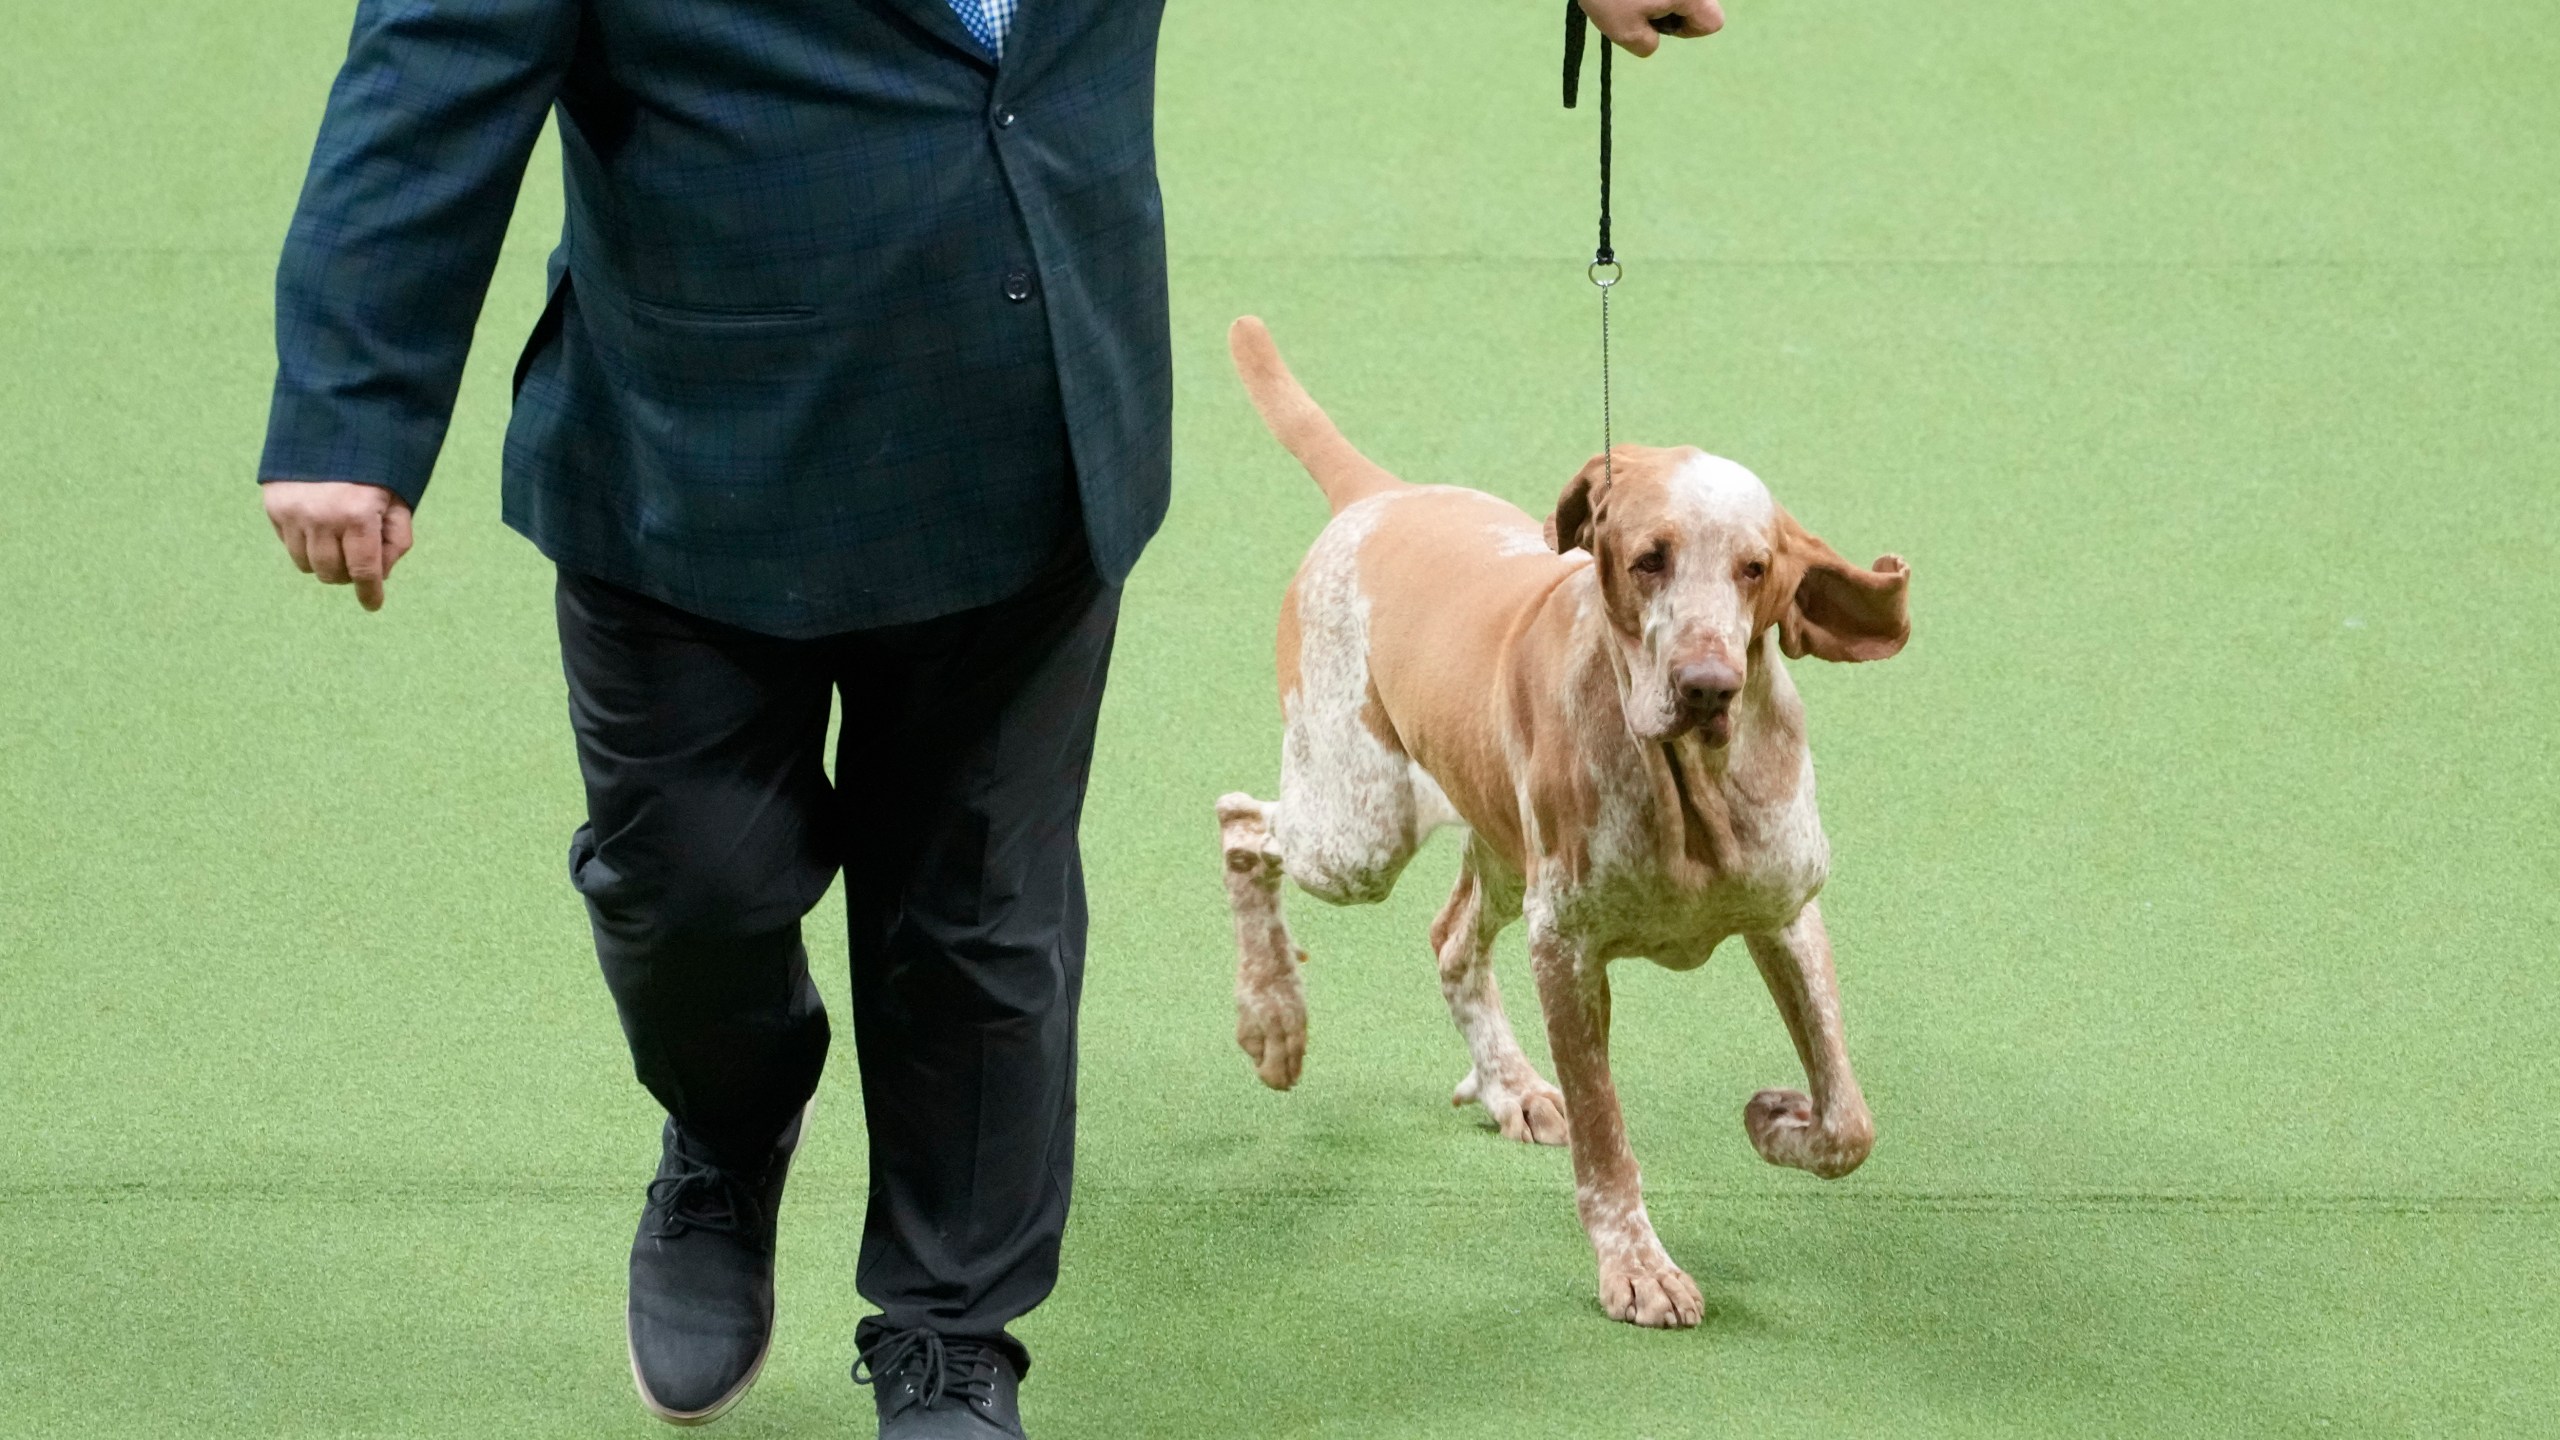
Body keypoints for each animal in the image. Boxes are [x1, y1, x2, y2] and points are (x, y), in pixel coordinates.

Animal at [1208, 313, 1914, 1322]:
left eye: (1756, 569)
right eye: (1650, 558)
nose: (1708, 688)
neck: (1686, 788)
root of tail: (1380, 497)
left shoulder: (1785, 916)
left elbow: (1849, 1122)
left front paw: (1780, 1122)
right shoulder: (1566, 950)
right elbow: (1603, 1131)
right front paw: (1637, 1267)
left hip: (1488, 846)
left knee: (1449, 937)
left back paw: (1505, 1087)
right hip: (1359, 832)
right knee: (1241, 826)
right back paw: (1273, 1022)